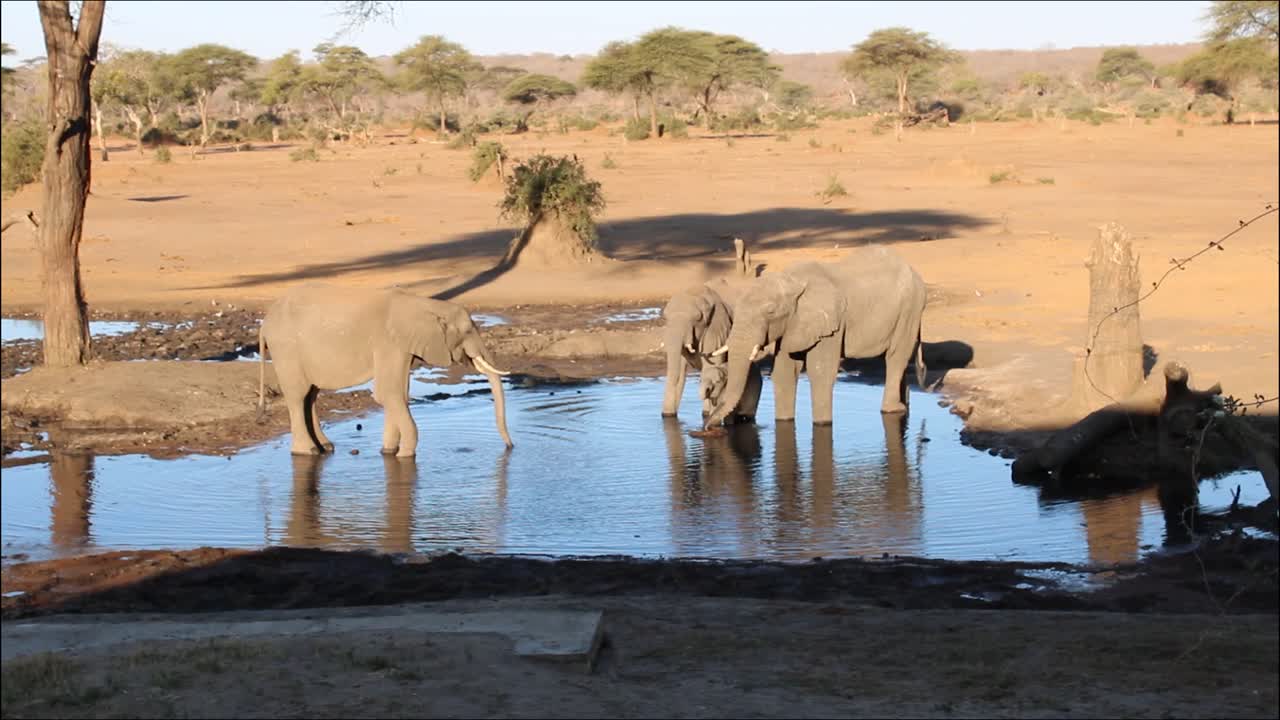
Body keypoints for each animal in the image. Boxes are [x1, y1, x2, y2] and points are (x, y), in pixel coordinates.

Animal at [258, 284, 513, 457]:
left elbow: (398, 394)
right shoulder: (389, 343)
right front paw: (405, 455)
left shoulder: (402, 347)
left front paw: (388, 452)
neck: (423, 304)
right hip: (286, 349)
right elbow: (388, 393)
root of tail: (264, 323)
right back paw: (308, 451)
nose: (510, 447)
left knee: (310, 395)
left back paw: (326, 447)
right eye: (468, 331)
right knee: (298, 395)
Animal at [660, 277, 763, 422]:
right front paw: (668, 416)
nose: (665, 415)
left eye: (697, 318)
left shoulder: (717, 327)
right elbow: (680, 368)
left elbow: (711, 365)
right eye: (665, 318)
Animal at [705, 246, 927, 429]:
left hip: (910, 309)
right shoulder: (792, 325)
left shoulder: (831, 326)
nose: (707, 426)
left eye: (770, 312)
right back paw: (903, 405)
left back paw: (892, 409)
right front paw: (783, 422)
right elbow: (784, 373)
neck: (792, 282)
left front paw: (822, 424)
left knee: (896, 357)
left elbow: (820, 372)